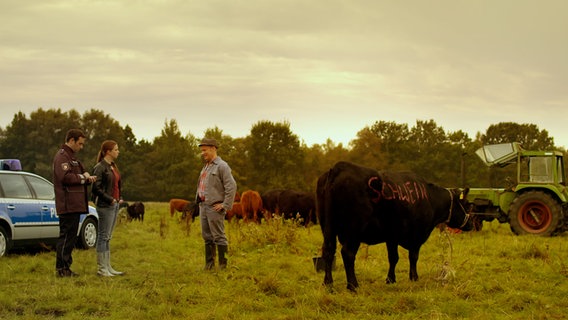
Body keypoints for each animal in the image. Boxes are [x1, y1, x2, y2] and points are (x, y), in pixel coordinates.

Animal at [318, 161, 472, 292]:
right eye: (467, 204)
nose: (470, 224)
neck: (430, 200)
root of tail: (339, 167)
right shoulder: (416, 235)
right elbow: (413, 256)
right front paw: (414, 277)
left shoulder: (392, 236)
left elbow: (393, 257)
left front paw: (390, 279)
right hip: (353, 230)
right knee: (347, 253)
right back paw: (353, 285)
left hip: (327, 226)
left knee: (328, 251)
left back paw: (328, 284)